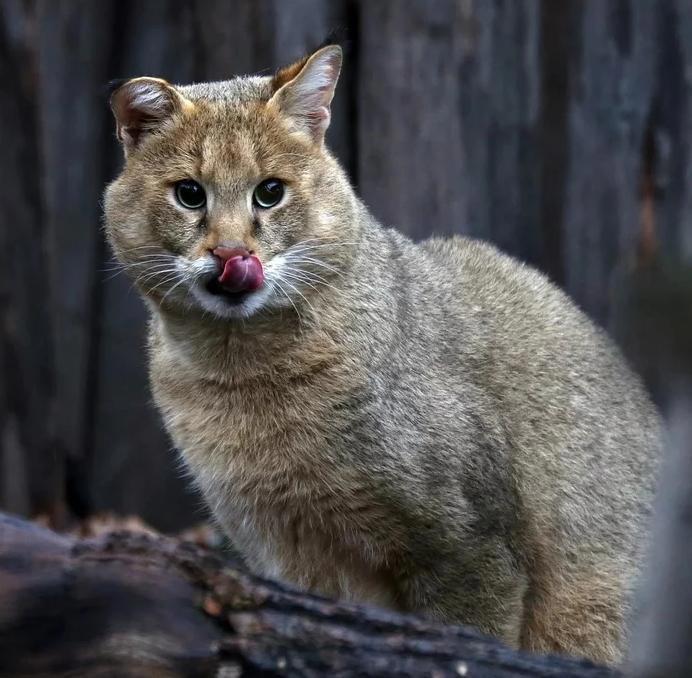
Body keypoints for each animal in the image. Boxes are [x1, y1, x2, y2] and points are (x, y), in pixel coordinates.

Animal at [102, 45, 660, 668]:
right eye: (190, 193)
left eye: (269, 191)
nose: (231, 255)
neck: (240, 373)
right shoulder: (285, 558)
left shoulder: (471, 549)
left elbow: (472, 640)